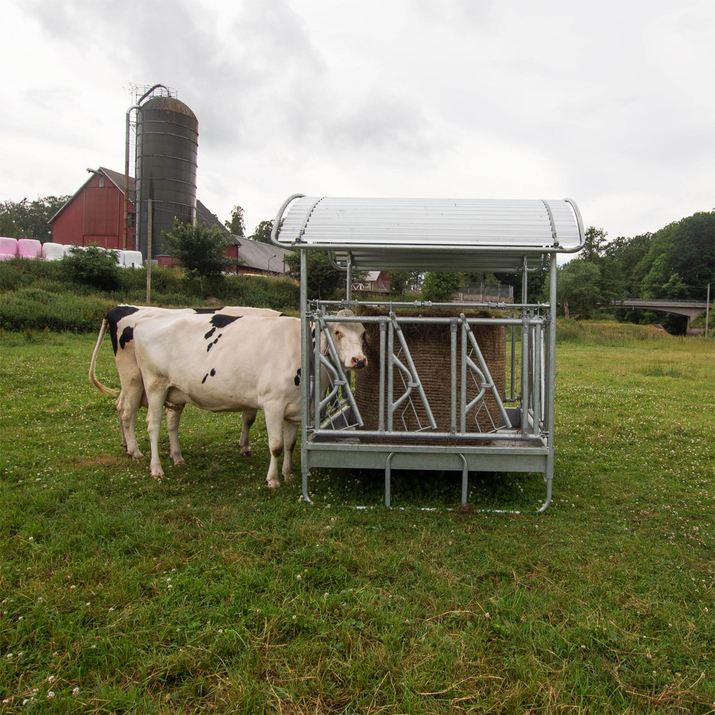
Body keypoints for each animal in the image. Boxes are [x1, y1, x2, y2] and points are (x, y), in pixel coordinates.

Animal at [88, 306, 278, 464]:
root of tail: (120, 307)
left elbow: (248, 419)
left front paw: (243, 446)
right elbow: (249, 418)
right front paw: (245, 447)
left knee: (120, 405)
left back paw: (126, 445)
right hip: (132, 377)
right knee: (128, 412)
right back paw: (135, 451)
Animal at [133, 310, 370, 490]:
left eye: (362, 334)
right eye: (337, 332)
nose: (359, 360)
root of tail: (145, 320)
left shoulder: (294, 409)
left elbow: (290, 444)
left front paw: (288, 474)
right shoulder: (273, 404)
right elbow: (276, 445)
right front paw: (272, 480)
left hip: (175, 391)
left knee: (172, 423)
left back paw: (178, 458)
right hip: (155, 385)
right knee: (153, 425)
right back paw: (156, 468)